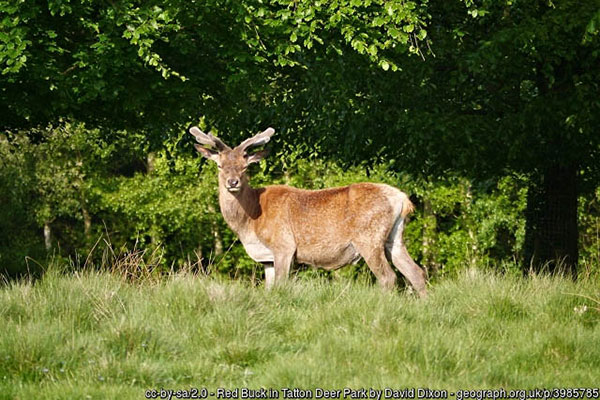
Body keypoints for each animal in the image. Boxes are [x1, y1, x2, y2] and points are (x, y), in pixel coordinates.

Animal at [191, 126, 426, 296]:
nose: (233, 182)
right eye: (219, 165)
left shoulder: (284, 245)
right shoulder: (267, 258)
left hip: (368, 237)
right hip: (394, 238)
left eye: (245, 166)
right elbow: (268, 289)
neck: (250, 221)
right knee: (416, 272)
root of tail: (401, 198)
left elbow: (281, 285)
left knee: (388, 277)